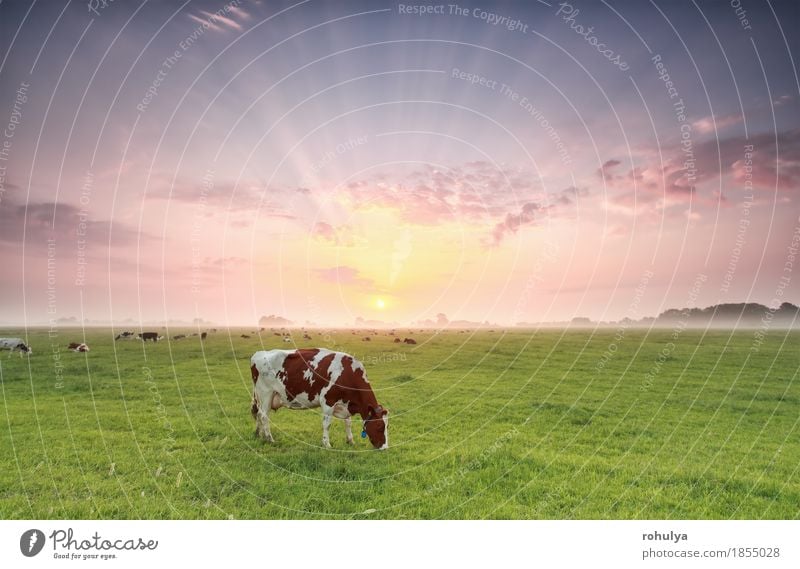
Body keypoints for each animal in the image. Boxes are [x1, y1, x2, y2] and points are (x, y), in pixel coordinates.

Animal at [248, 346, 390, 448]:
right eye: (379, 426)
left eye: (387, 427)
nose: (384, 448)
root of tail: (258, 354)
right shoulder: (328, 401)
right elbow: (327, 424)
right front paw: (327, 444)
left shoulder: (345, 403)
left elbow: (348, 422)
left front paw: (350, 441)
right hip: (266, 393)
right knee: (263, 415)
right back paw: (269, 439)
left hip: (260, 396)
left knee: (258, 413)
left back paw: (259, 434)